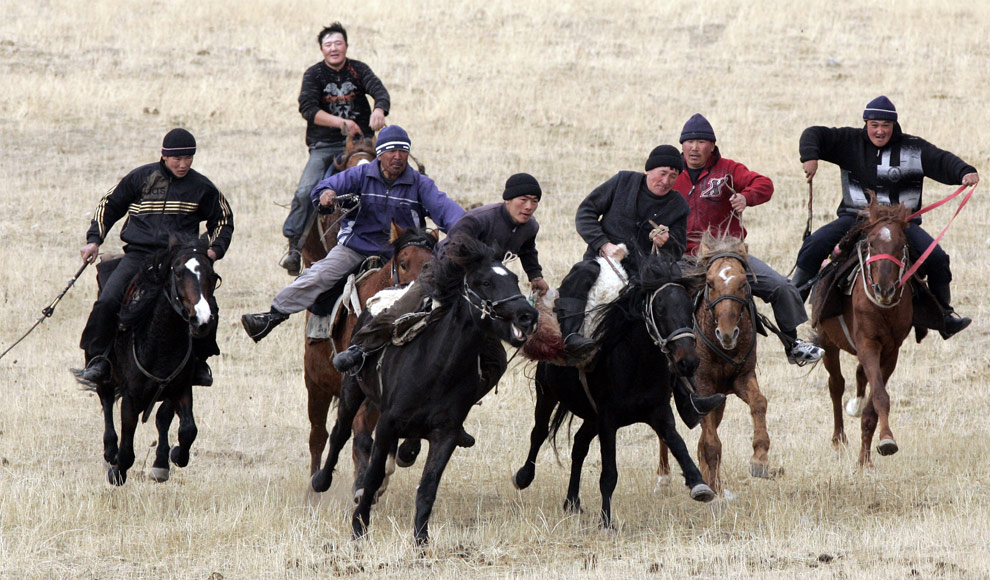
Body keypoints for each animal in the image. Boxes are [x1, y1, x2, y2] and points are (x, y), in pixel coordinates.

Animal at [78, 236, 218, 484]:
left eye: (211, 274)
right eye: (178, 272)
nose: (202, 320)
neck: (160, 342)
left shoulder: (180, 388)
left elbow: (185, 429)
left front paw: (171, 457)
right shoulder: (131, 397)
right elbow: (127, 447)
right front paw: (117, 471)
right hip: (105, 376)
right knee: (106, 401)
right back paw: (110, 452)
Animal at [312, 234, 540, 544]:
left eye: (515, 279)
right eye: (485, 282)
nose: (528, 315)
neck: (436, 368)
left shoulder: (445, 435)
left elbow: (428, 488)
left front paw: (421, 541)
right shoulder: (387, 425)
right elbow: (371, 477)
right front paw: (359, 527)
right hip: (352, 388)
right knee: (340, 433)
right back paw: (321, 480)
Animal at [516, 258, 716, 532]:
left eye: (689, 307)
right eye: (659, 310)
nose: (688, 362)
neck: (636, 363)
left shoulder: (659, 413)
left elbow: (678, 444)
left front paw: (699, 484)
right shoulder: (608, 421)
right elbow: (609, 474)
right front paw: (606, 521)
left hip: (591, 417)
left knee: (579, 445)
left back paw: (572, 501)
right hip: (547, 394)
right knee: (539, 432)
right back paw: (524, 477)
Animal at [664, 233, 780, 496]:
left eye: (743, 282)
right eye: (710, 282)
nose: (727, 333)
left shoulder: (741, 379)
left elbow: (759, 402)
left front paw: (760, 458)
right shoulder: (703, 387)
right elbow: (710, 441)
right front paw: (711, 488)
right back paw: (662, 479)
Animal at [812, 199, 916, 466]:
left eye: (901, 244)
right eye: (871, 242)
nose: (884, 289)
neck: (883, 308)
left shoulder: (890, 352)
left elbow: (874, 402)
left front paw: (868, 456)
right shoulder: (868, 343)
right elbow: (879, 395)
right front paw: (884, 442)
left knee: (859, 375)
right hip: (828, 342)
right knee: (836, 384)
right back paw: (838, 439)